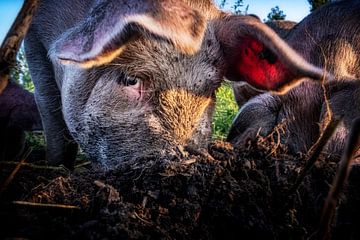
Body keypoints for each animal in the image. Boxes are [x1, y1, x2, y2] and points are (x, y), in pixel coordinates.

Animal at [25, 0, 328, 169]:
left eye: (211, 90)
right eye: (131, 79)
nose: (183, 160)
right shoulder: (33, 40)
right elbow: (52, 117)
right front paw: (56, 166)